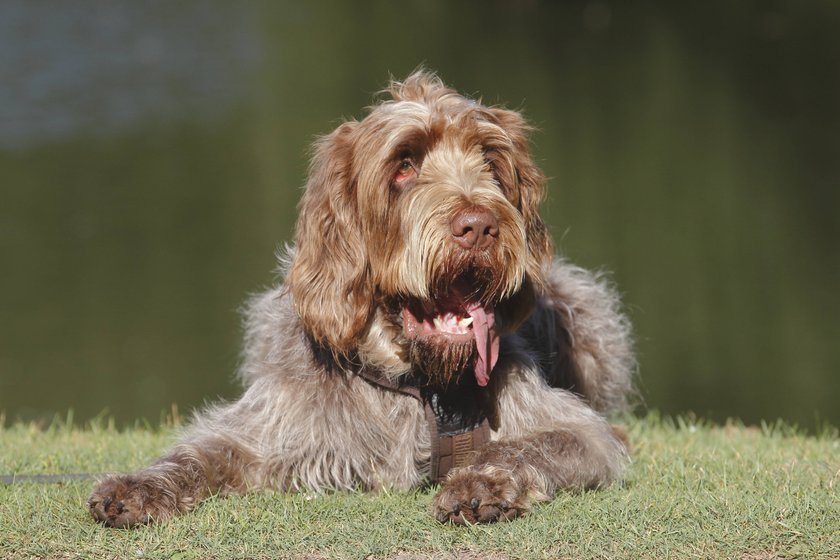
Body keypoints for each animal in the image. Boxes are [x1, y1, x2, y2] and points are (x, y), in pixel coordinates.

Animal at [88, 71, 632, 528]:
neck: (414, 382)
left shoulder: (580, 433)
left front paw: (480, 482)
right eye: (404, 166)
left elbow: (528, 447)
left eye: (491, 163)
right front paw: (138, 485)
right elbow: (201, 452)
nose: (479, 226)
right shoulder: (270, 425)